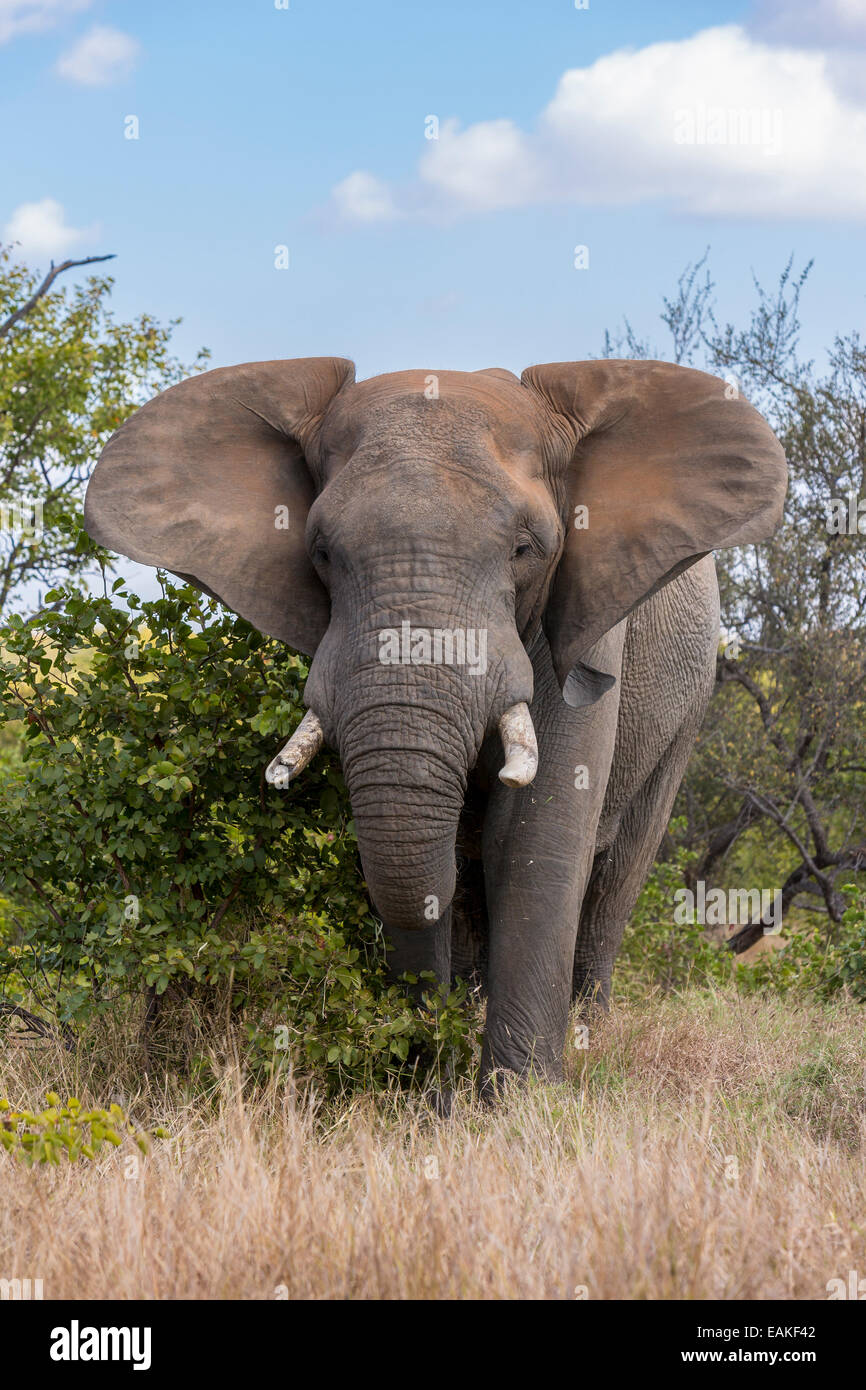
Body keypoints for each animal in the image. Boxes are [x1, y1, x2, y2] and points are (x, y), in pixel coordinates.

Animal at [84, 358, 789, 1095]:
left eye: (525, 549)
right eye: (322, 553)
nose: (430, 1074)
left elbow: (531, 837)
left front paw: (519, 1103)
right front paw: (429, 1095)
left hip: (690, 706)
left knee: (616, 876)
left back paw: (589, 1032)